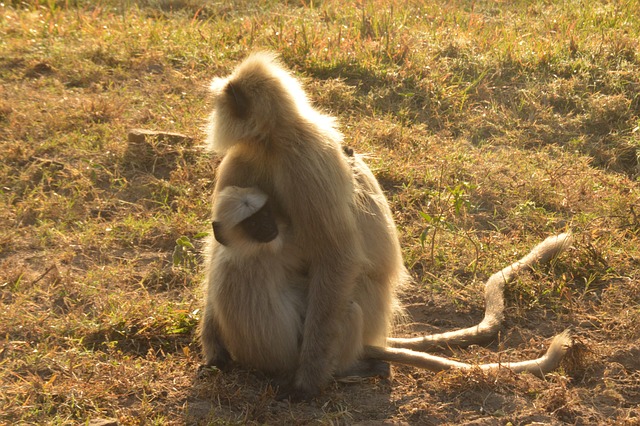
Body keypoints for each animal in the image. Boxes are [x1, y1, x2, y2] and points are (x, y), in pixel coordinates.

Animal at [198, 52, 572, 400]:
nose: (213, 114)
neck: (273, 140)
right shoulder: (244, 161)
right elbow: (222, 245)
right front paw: (214, 348)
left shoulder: (304, 160)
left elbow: (338, 257)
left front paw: (307, 381)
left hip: (360, 312)